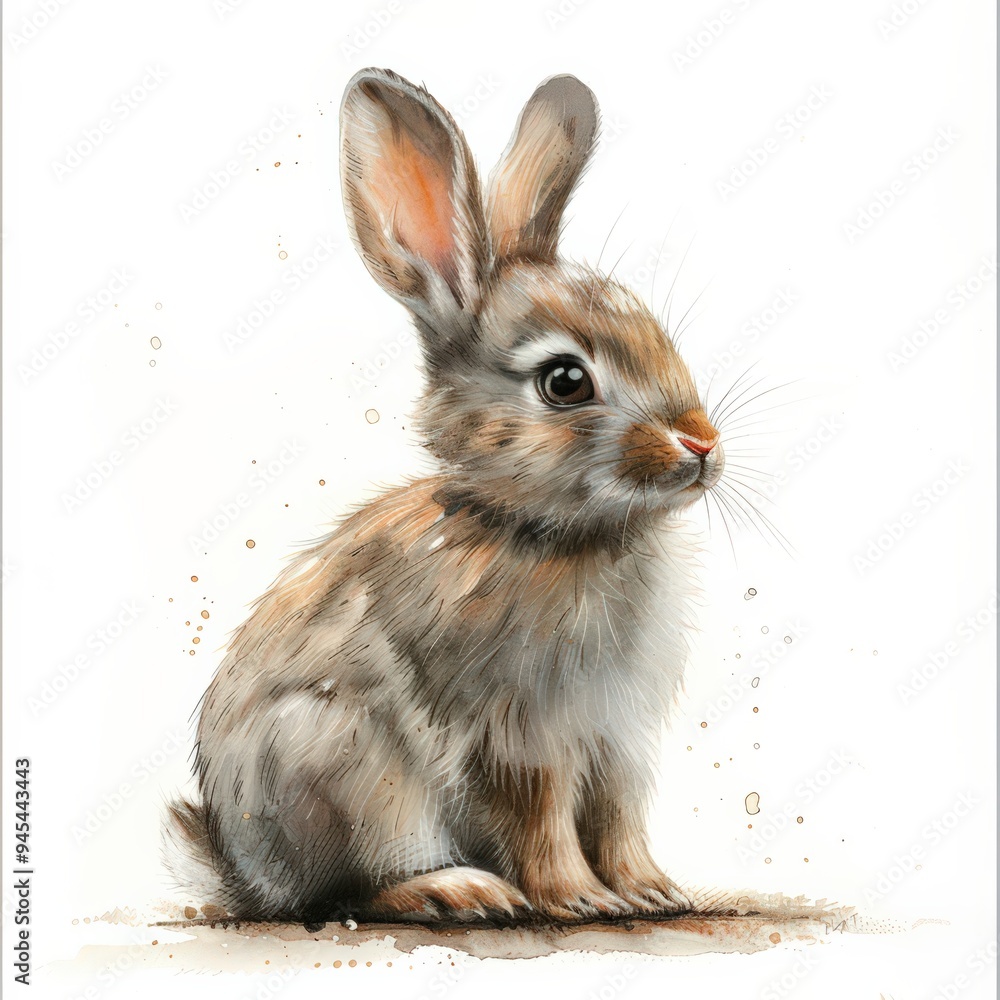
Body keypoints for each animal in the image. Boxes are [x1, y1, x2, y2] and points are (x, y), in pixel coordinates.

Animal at [164, 66, 724, 927]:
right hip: (350, 768)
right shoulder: (519, 734)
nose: (700, 443)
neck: (556, 534)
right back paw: (459, 889)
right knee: (352, 890)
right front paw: (577, 900)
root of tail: (244, 875)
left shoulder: (618, 742)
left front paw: (651, 890)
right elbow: (542, 817)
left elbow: (620, 815)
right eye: (566, 381)